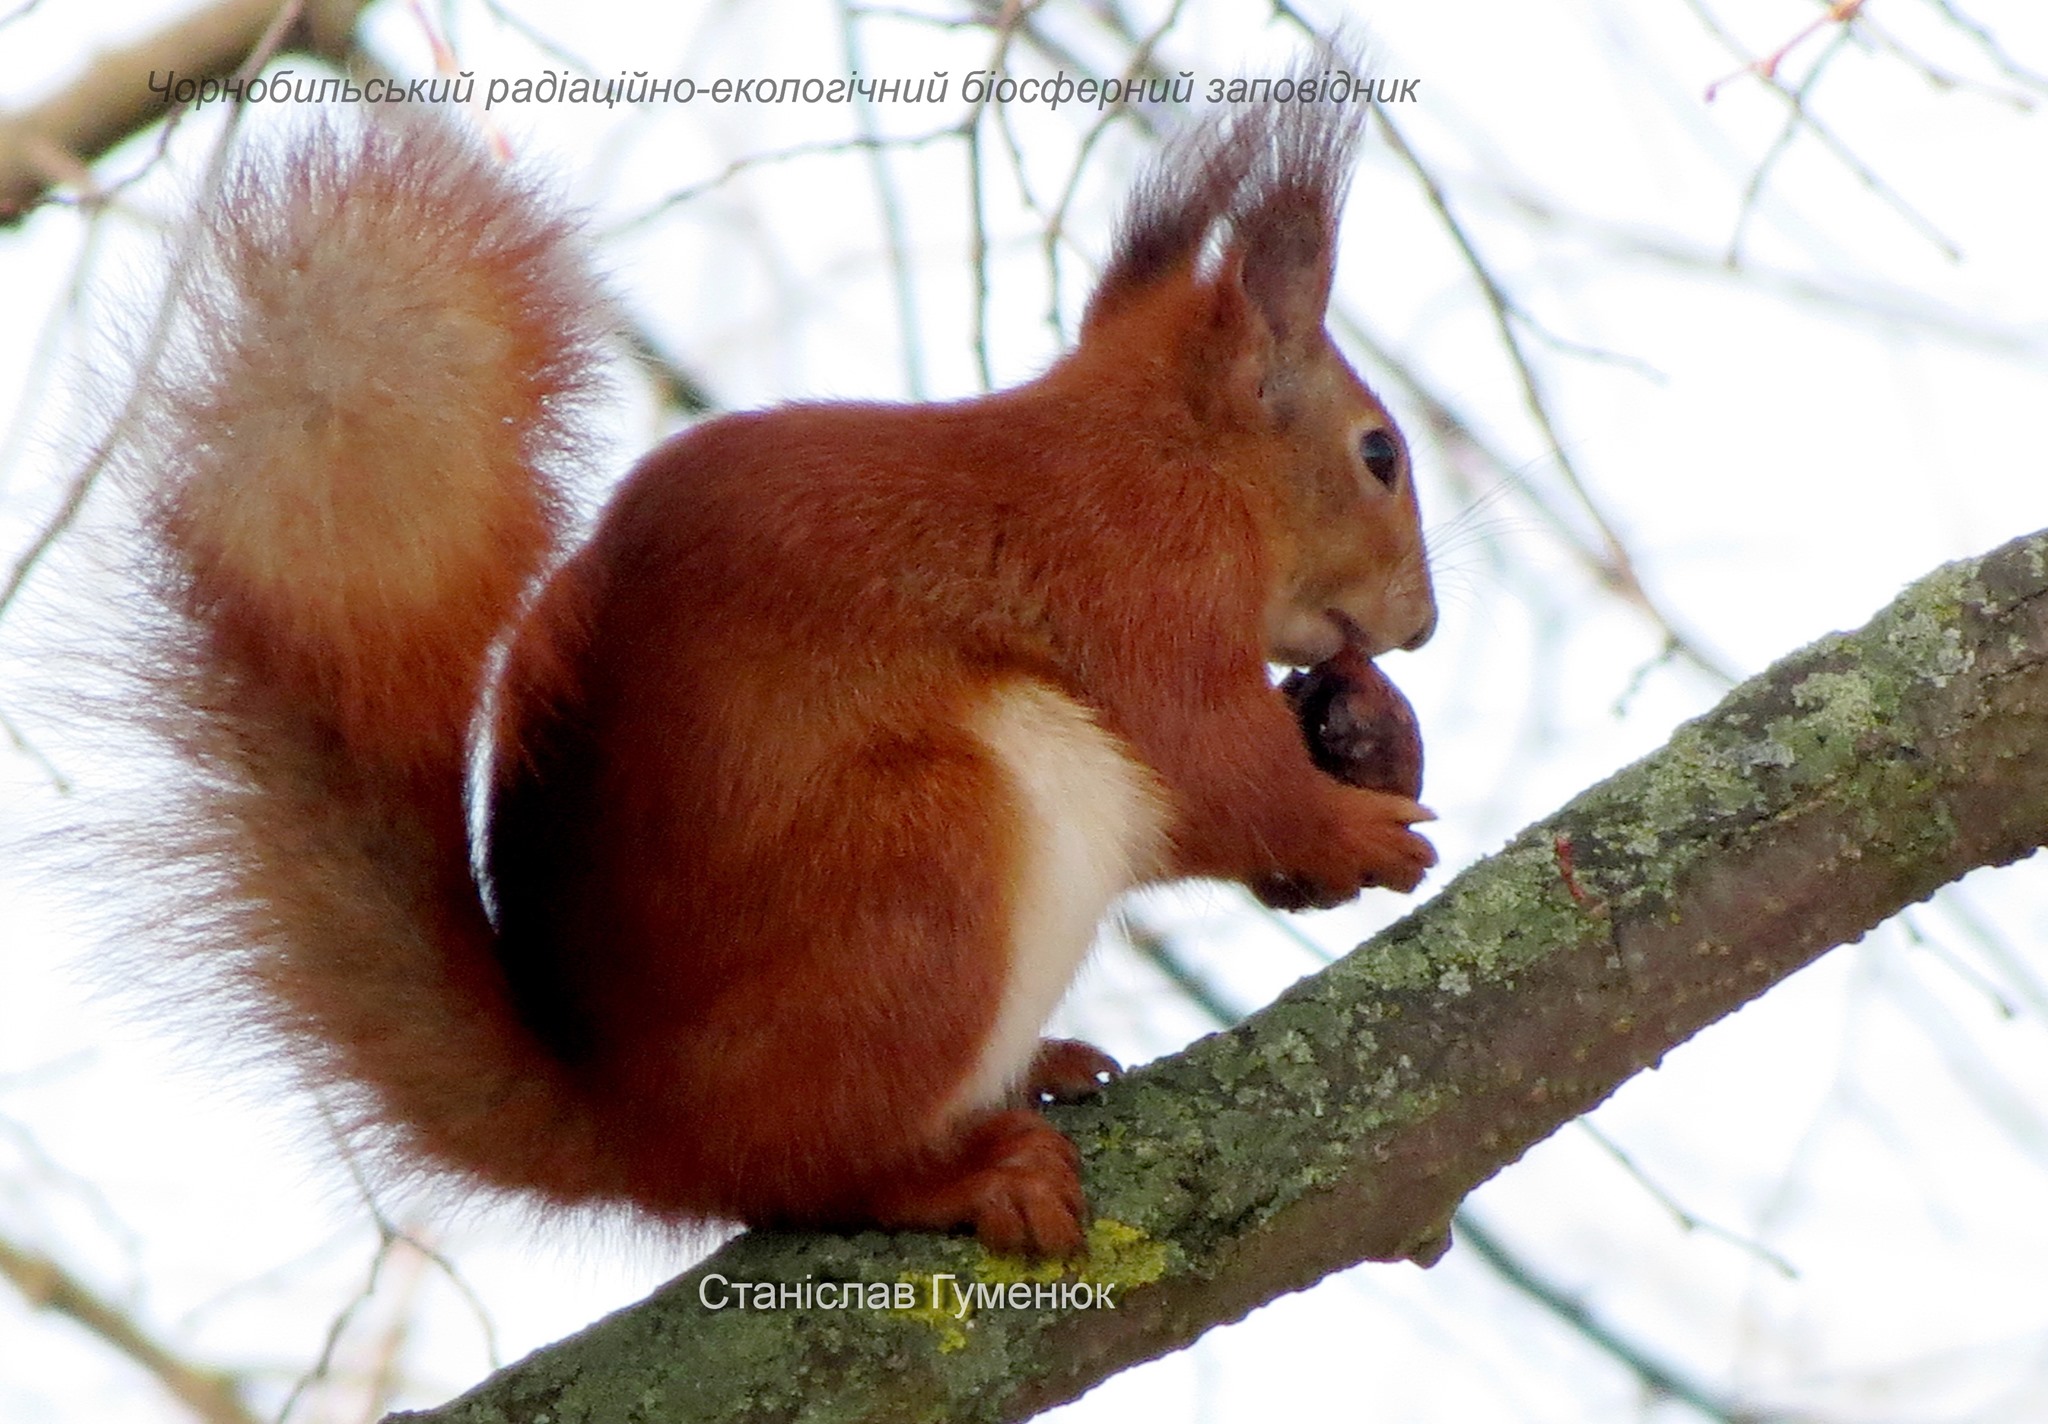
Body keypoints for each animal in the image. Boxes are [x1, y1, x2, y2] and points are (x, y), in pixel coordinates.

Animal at [128, 91, 1441, 1262]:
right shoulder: (1141, 580)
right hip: (924, 863)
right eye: (1377, 453)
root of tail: (645, 1135)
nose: (1422, 625)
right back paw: (958, 1172)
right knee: (803, 1172)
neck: (1166, 449)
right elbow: (1210, 769)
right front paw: (1356, 830)